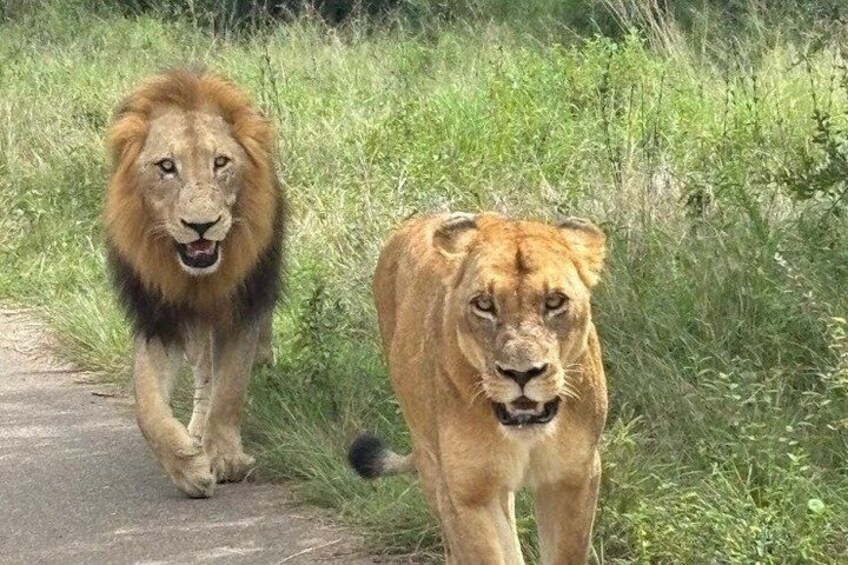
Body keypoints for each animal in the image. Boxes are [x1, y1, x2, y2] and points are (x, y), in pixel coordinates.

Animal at [104, 69, 285, 498]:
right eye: (167, 166)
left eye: (220, 162)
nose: (201, 225)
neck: (197, 278)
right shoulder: (158, 317)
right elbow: (146, 405)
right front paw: (186, 465)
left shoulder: (242, 309)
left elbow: (230, 389)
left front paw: (227, 458)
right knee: (203, 375)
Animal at [349, 213, 608, 564]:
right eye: (484, 305)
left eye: (554, 302)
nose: (521, 373)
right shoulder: (466, 492)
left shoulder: (573, 479)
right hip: (431, 463)